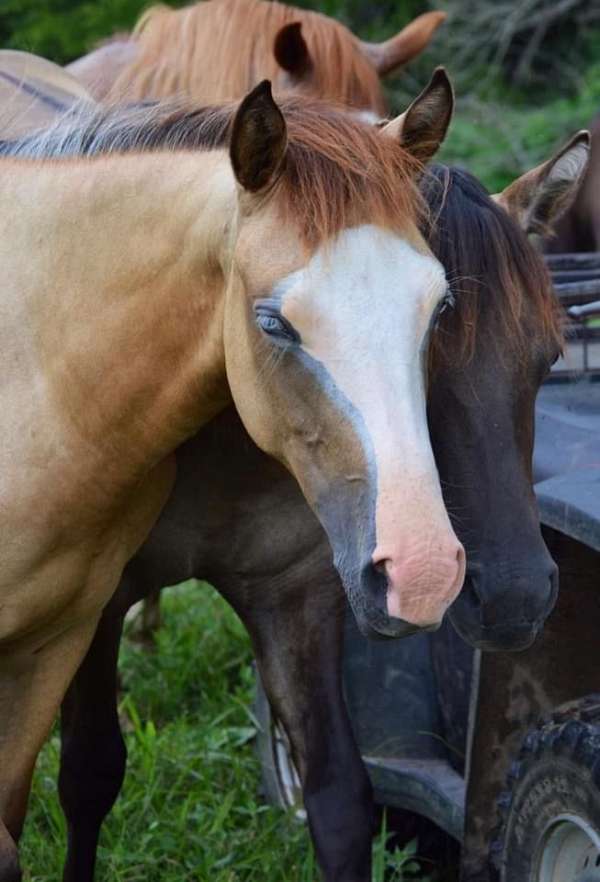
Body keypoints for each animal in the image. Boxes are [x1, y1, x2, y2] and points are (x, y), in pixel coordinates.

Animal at [17, 106, 584, 876]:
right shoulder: (91, 605)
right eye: (439, 352)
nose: (515, 596)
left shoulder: (296, 596)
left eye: (546, 358)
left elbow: (338, 797)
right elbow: (88, 774)